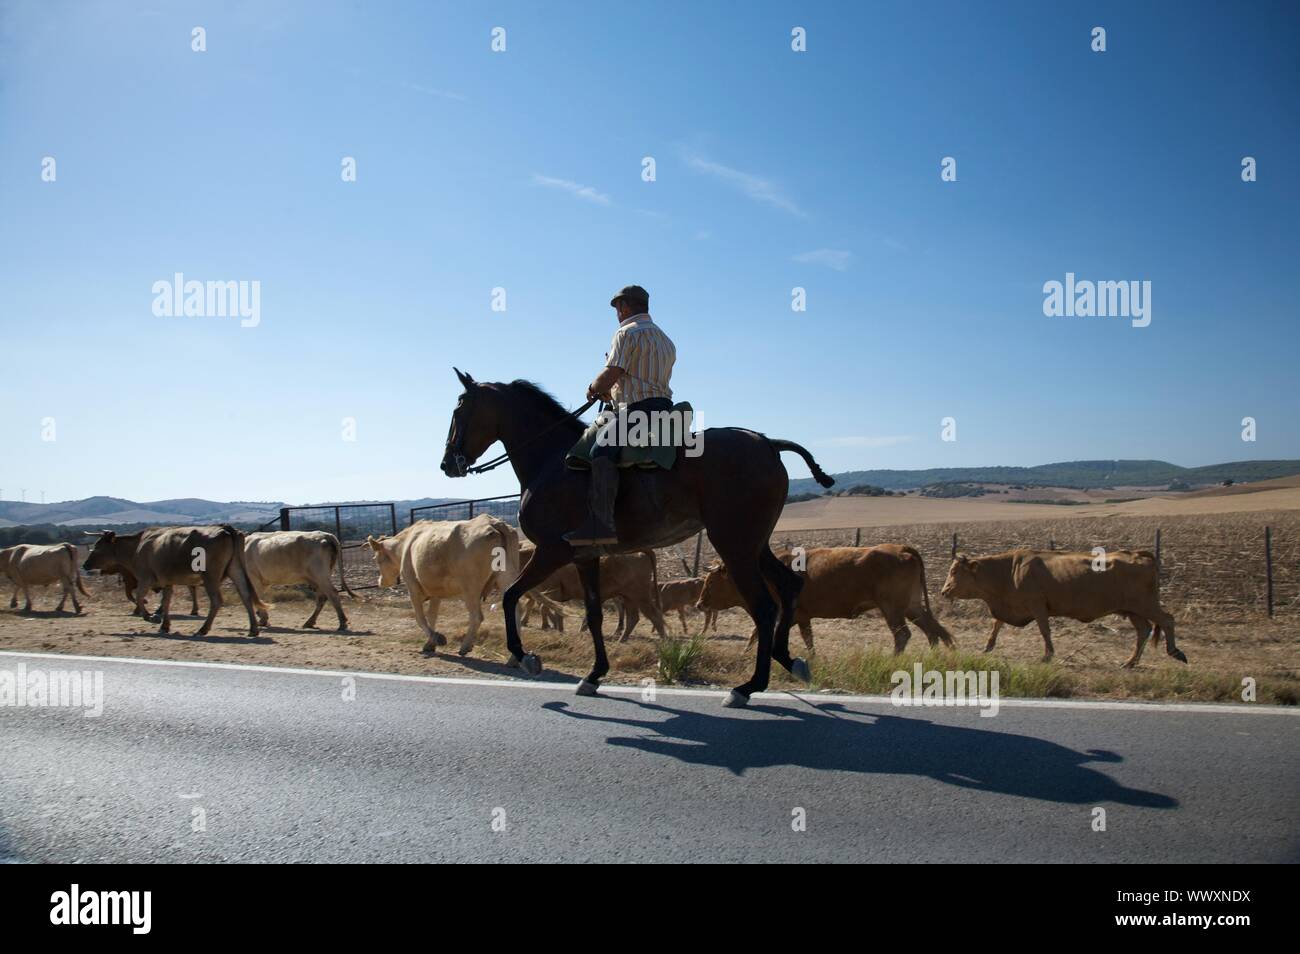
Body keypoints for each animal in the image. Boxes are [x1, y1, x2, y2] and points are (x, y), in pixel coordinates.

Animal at [81, 527, 258, 639]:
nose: (85, 565)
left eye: (97, 546)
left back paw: (203, 629)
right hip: (236, 570)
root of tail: (226, 529)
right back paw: (253, 629)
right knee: (246, 595)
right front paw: (164, 625)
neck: (137, 546)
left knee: (216, 601)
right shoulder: (166, 582)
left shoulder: (146, 578)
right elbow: (166, 602)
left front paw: (151, 617)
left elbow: (139, 597)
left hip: (210, 577)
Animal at [366, 514, 517, 657]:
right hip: (507, 579)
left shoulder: (413, 588)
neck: (405, 545)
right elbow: (432, 616)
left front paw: (438, 638)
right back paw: (513, 658)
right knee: (514, 611)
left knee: (477, 616)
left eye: (377, 559)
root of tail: (494, 523)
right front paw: (429, 644)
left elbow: (420, 618)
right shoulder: (435, 591)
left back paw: (465, 646)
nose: (380, 582)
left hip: (471, 589)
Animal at [441, 369, 837, 707]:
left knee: (765, 606)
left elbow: (510, 596)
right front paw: (594, 675)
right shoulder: (586, 556)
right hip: (755, 545)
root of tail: (767, 443)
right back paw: (789, 660)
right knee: (788, 586)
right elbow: (594, 614)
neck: (551, 460)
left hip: (735, 546)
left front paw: (525, 657)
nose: (448, 463)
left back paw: (748, 686)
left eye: (459, 409)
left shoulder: (552, 551)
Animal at [702, 545, 956, 657]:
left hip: (892, 608)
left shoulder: (789, 614)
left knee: (903, 635)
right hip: (912, 606)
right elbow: (805, 638)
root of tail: (901, 548)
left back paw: (893, 659)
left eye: (711, 581)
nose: (699, 603)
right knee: (933, 630)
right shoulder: (800, 616)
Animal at [941, 548, 1185, 670]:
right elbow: (996, 624)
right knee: (1143, 631)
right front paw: (988, 646)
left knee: (1167, 620)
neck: (1008, 571)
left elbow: (1044, 631)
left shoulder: (1038, 606)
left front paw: (1048, 655)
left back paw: (1175, 652)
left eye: (954, 572)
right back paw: (1130, 662)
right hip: (1133, 611)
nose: (944, 591)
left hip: (1145, 605)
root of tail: (1138, 555)